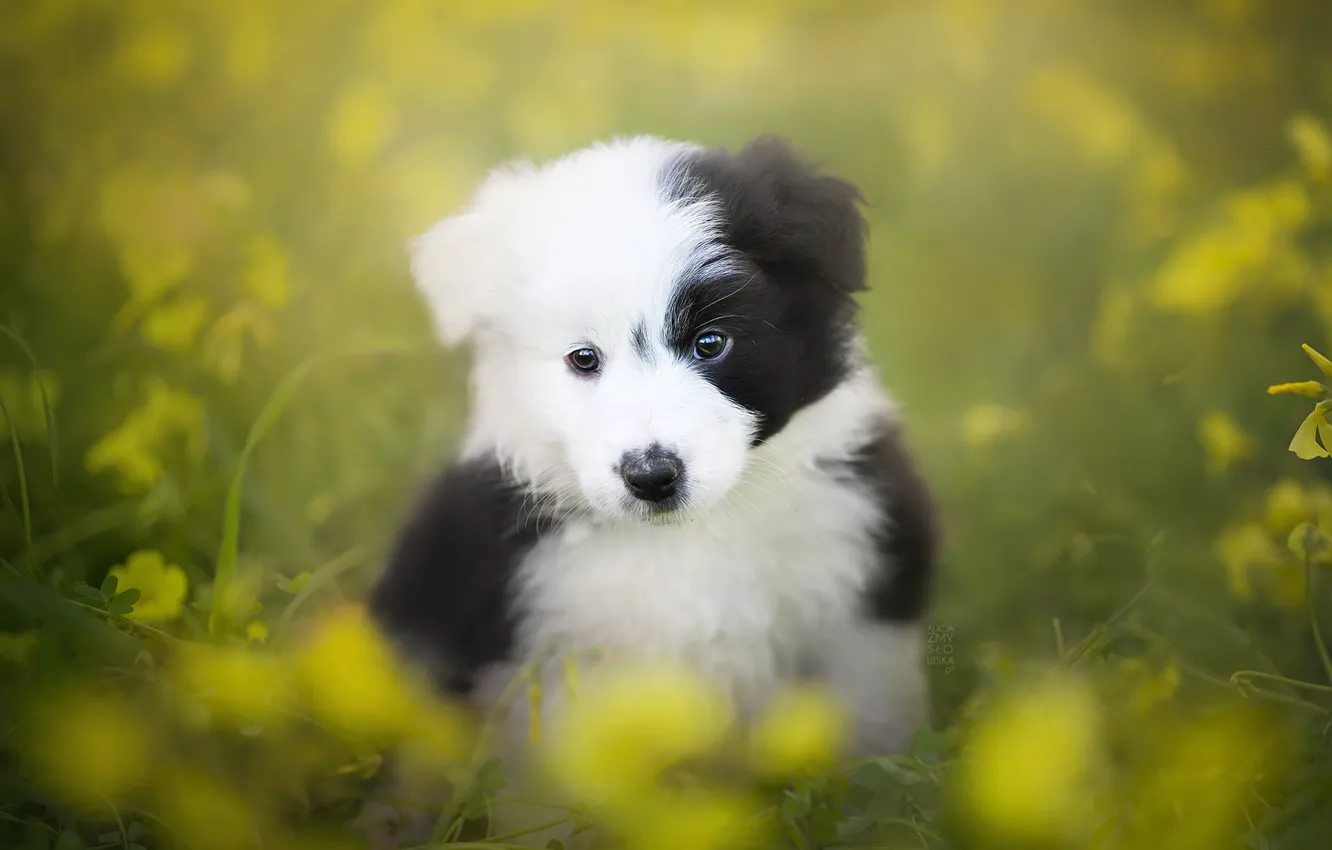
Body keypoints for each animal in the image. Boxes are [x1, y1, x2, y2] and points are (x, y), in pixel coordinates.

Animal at [364, 136, 937, 842]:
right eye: (583, 359)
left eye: (711, 342)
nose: (651, 476)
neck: (689, 538)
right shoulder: (545, 663)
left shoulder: (860, 614)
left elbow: (870, 752)